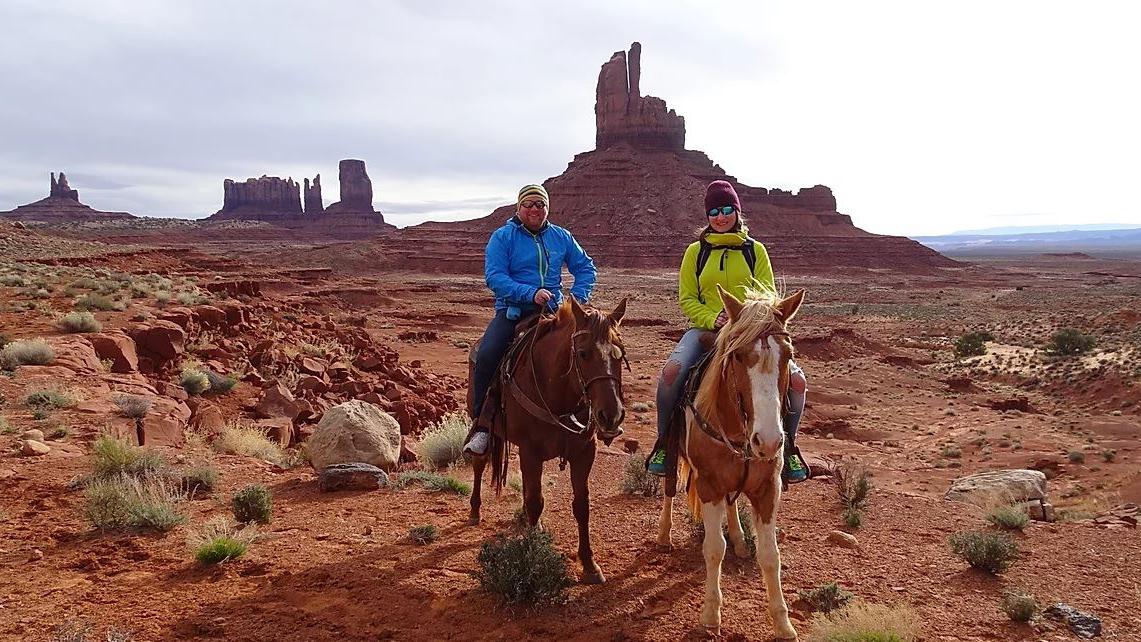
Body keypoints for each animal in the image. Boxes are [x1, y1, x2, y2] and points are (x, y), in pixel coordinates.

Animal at [467, 296, 628, 584]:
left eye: (619, 353)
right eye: (583, 353)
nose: (611, 415)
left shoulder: (584, 452)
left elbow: (581, 505)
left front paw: (590, 565)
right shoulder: (531, 451)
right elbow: (535, 501)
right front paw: (531, 558)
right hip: (485, 427)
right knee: (480, 463)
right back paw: (475, 511)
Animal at [656, 284, 805, 638]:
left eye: (789, 355)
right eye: (737, 355)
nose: (769, 441)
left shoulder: (768, 488)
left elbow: (770, 555)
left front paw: (783, 622)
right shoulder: (709, 485)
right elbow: (713, 548)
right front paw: (711, 614)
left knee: (732, 503)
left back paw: (738, 539)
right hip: (673, 451)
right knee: (668, 488)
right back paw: (664, 535)